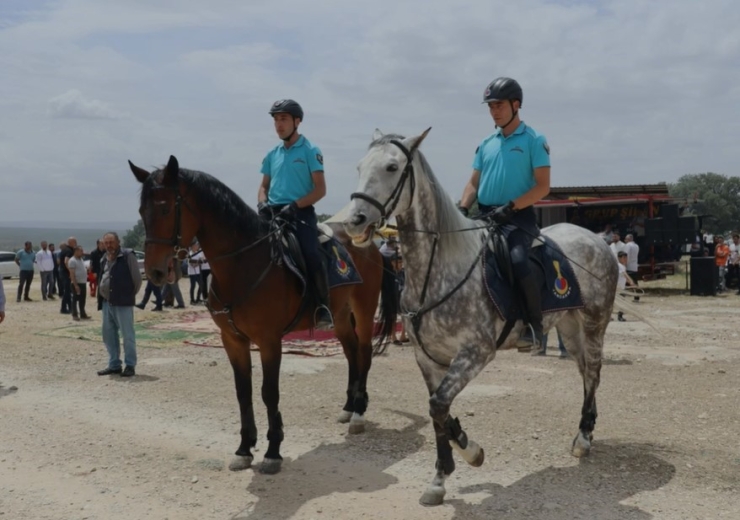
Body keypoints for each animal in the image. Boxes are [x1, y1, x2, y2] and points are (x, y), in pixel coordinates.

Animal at [133, 155, 398, 476]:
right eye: (142, 211)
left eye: (165, 208)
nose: (156, 272)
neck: (243, 264)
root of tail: (369, 245)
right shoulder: (232, 341)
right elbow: (243, 392)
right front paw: (244, 448)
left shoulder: (269, 341)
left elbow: (268, 392)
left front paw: (273, 451)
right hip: (340, 315)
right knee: (351, 354)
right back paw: (349, 407)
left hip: (363, 309)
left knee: (364, 353)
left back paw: (358, 413)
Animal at [342, 128, 620, 506]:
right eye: (359, 166)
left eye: (391, 167)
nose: (354, 221)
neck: (438, 268)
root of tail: (597, 239)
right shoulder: (427, 359)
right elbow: (438, 411)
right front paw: (441, 476)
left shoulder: (475, 353)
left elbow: (438, 406)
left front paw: (469, 453)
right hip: (569, 328)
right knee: (585, 373)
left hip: (593, 324)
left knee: (593, 374)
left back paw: (584, 439)